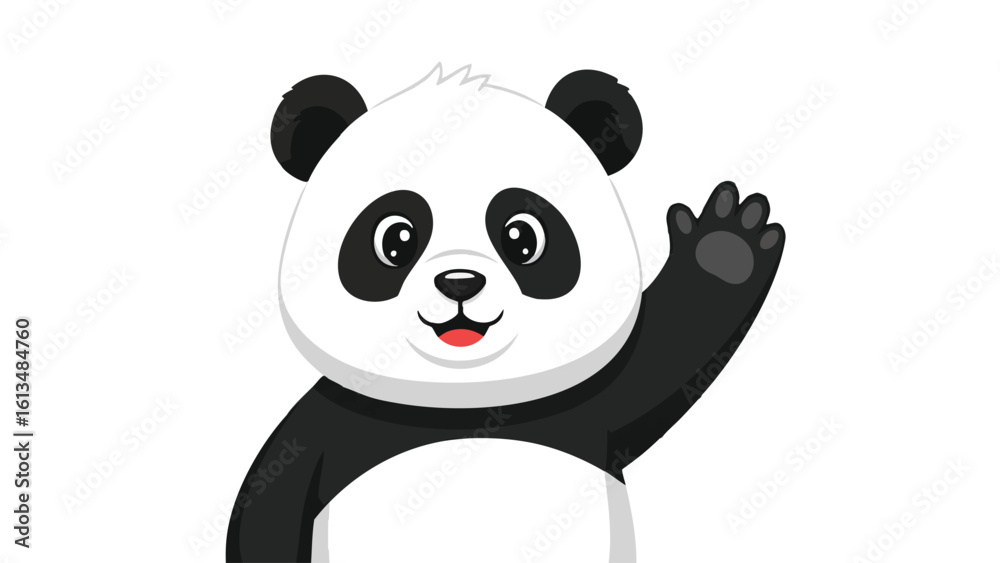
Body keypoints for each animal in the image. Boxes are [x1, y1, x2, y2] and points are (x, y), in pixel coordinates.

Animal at [227, 64, 785, 562]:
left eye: (522, 236)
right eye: (395, 239)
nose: (459, 282)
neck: (464, 403)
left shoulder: (589, 404)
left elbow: (667, 355)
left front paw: (726, 247)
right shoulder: (332, 424)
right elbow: (272, 491)